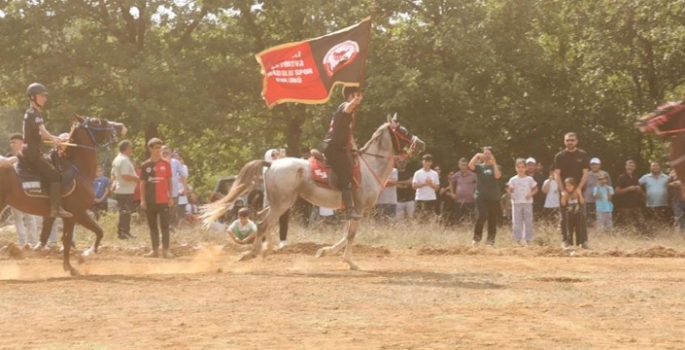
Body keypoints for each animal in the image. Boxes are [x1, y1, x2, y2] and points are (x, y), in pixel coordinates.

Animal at [0, 115, 125, 276]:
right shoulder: (77, 213)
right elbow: (97, 232)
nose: (121, 126)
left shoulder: (69, 217)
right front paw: (82, 258)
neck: (78, 170)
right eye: (97, 121)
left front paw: (70, 265)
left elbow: (67, 239)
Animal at [202, 116, 422, 270]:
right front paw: (350, 262)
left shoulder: (351, 211)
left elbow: (345, 234)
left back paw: (266, 248)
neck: (371, 167)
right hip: (283, 203)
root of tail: (272, 164)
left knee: (262, 220)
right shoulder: (358, 210)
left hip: (274, 203)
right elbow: (350, 235)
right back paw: (252, 253)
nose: (421, 143)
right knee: (264, 223)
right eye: (402, 130)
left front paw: (324, 252)